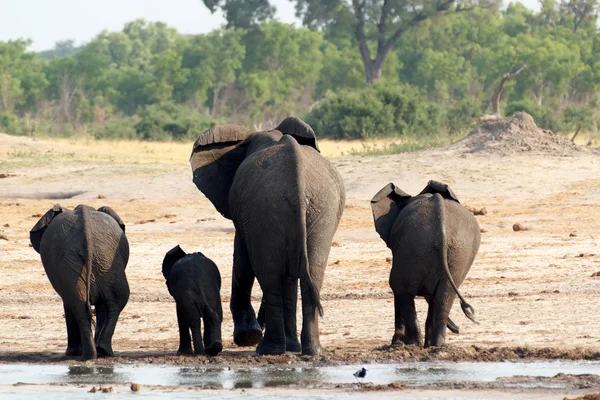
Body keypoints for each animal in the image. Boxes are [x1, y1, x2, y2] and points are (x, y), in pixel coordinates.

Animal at [190, 117, 344, 354]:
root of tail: (297, 174)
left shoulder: (246, 216)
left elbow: (242, 261)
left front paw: (247, 337)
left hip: (271, 208)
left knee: (269, 276)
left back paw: (268, 349)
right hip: (318, 208)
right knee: (311, 274)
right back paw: (309, 350)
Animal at [370, 180, 482, 346]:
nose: (457, 329)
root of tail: (442, 233)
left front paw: (398, 342)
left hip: (420, 249)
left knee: (401, 287)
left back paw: (414, 344)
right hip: (458, 253)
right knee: (444, 295)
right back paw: (434, 346)